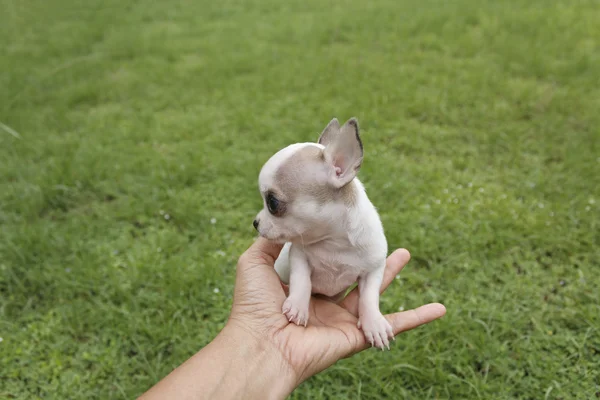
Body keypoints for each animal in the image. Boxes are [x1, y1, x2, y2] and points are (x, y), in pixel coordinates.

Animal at [253, 117, 394, 348]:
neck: (333, 242)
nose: (255, 223)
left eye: (272, 203)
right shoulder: (299, 256)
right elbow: (302, 280)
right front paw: (298, 306)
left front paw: (374, 323)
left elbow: (369, 297)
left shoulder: (374, 268)